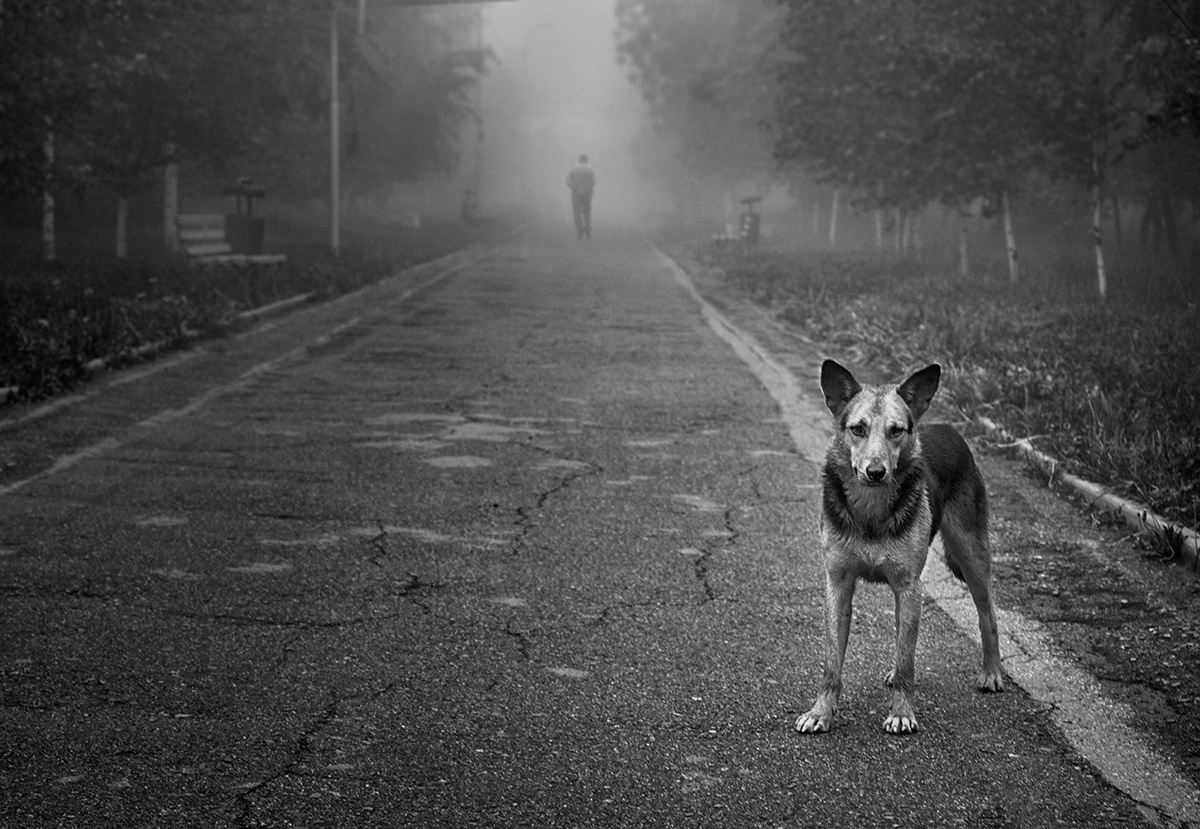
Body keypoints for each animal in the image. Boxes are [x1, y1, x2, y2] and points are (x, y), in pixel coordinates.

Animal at [795, 359, 1003, 735]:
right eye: (858, 429)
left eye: (896, 431)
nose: (875, 471)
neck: (871, 508)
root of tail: (949, 429)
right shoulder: (838, 585)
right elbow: (832, 662)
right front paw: (821, 711)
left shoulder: (909, 586)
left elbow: (907, 658)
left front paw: (902, 712)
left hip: (972, 556)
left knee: (987, 615)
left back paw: (992, 671)